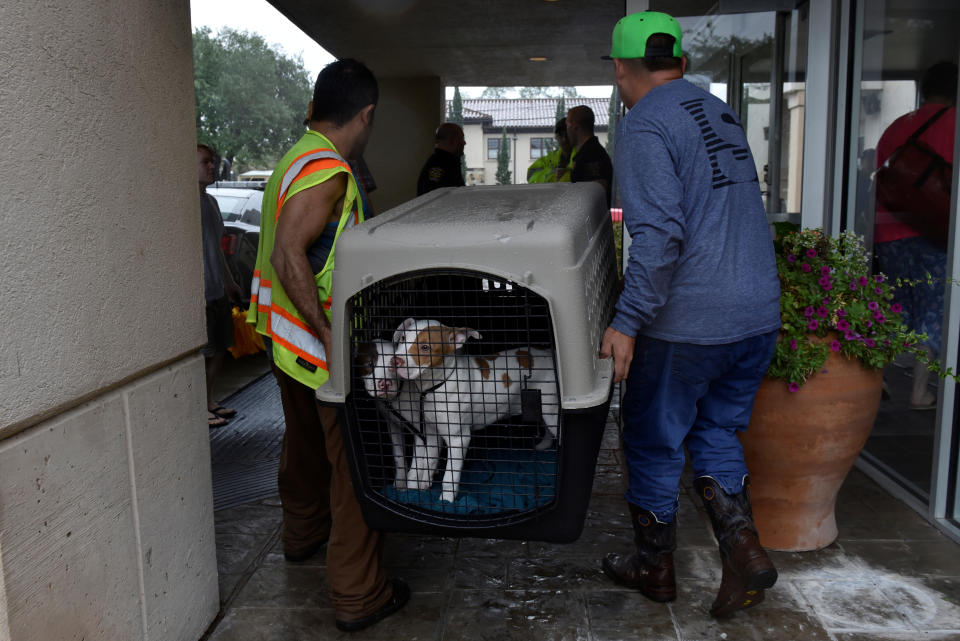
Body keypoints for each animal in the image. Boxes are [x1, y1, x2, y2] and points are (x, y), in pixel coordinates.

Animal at [388, 318, 560, 502]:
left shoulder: (458, 439)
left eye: (425, 347)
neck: (437, 385)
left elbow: (449, 477)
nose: (394, 361)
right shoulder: (431, 431)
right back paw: (544, 444)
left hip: (550, 409)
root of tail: (549, 352)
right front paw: (418, 489)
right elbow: (428, 460)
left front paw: (446, 501)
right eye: (403, 338)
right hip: (542, 406)